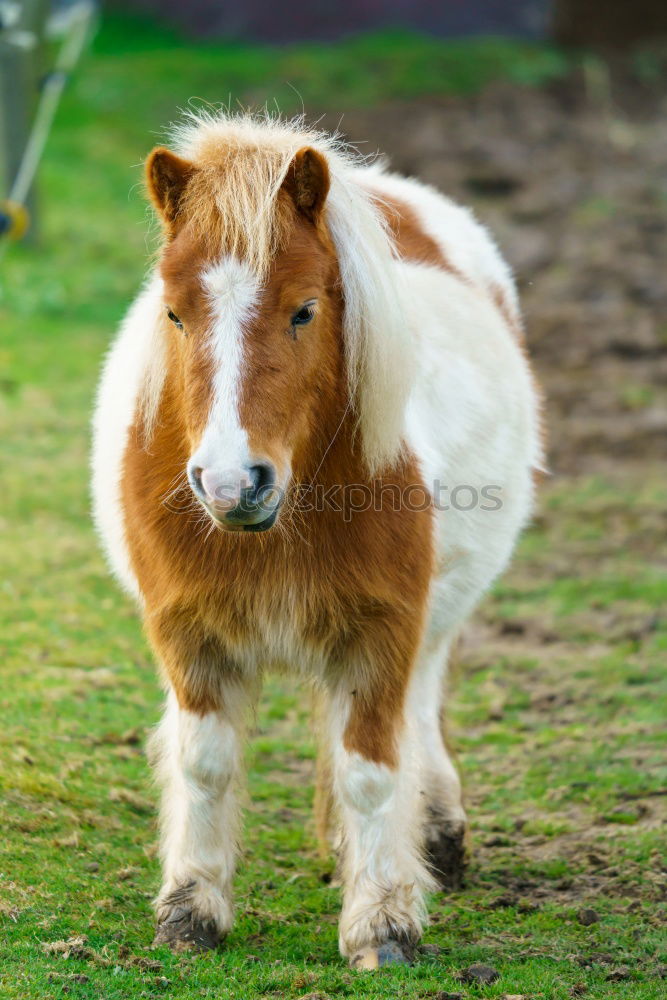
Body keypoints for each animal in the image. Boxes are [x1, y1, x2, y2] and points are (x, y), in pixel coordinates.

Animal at [92, 115, 544, 968]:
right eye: (174, 314)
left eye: (304, 310)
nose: (232, 483)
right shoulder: (187, 635)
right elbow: (204, 763)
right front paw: (190, 911)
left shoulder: (382, 633)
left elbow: (370, 771)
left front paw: (382, 924)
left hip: (433, 620)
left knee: (418, 711)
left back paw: (433, 837)